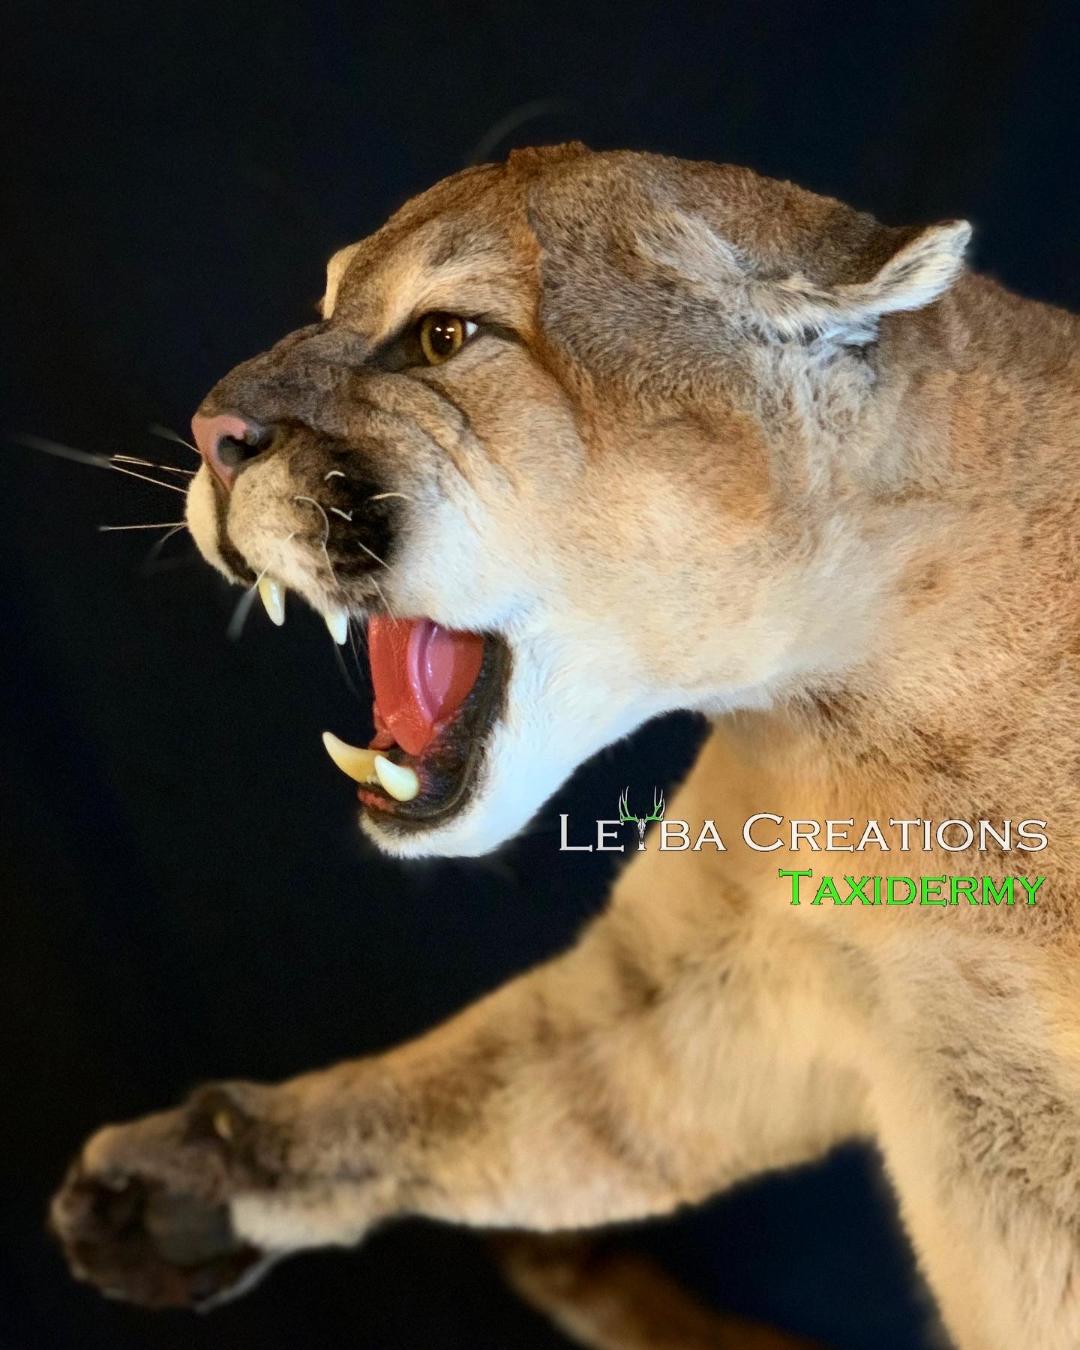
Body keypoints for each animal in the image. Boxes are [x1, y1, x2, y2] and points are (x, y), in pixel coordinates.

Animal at [49, 143, 1080, 1348]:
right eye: (326, 301)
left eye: (445, 336)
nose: (211, 433)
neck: (868, 727)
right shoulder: (702, 985)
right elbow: (499, 1094)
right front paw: (194, 1176)